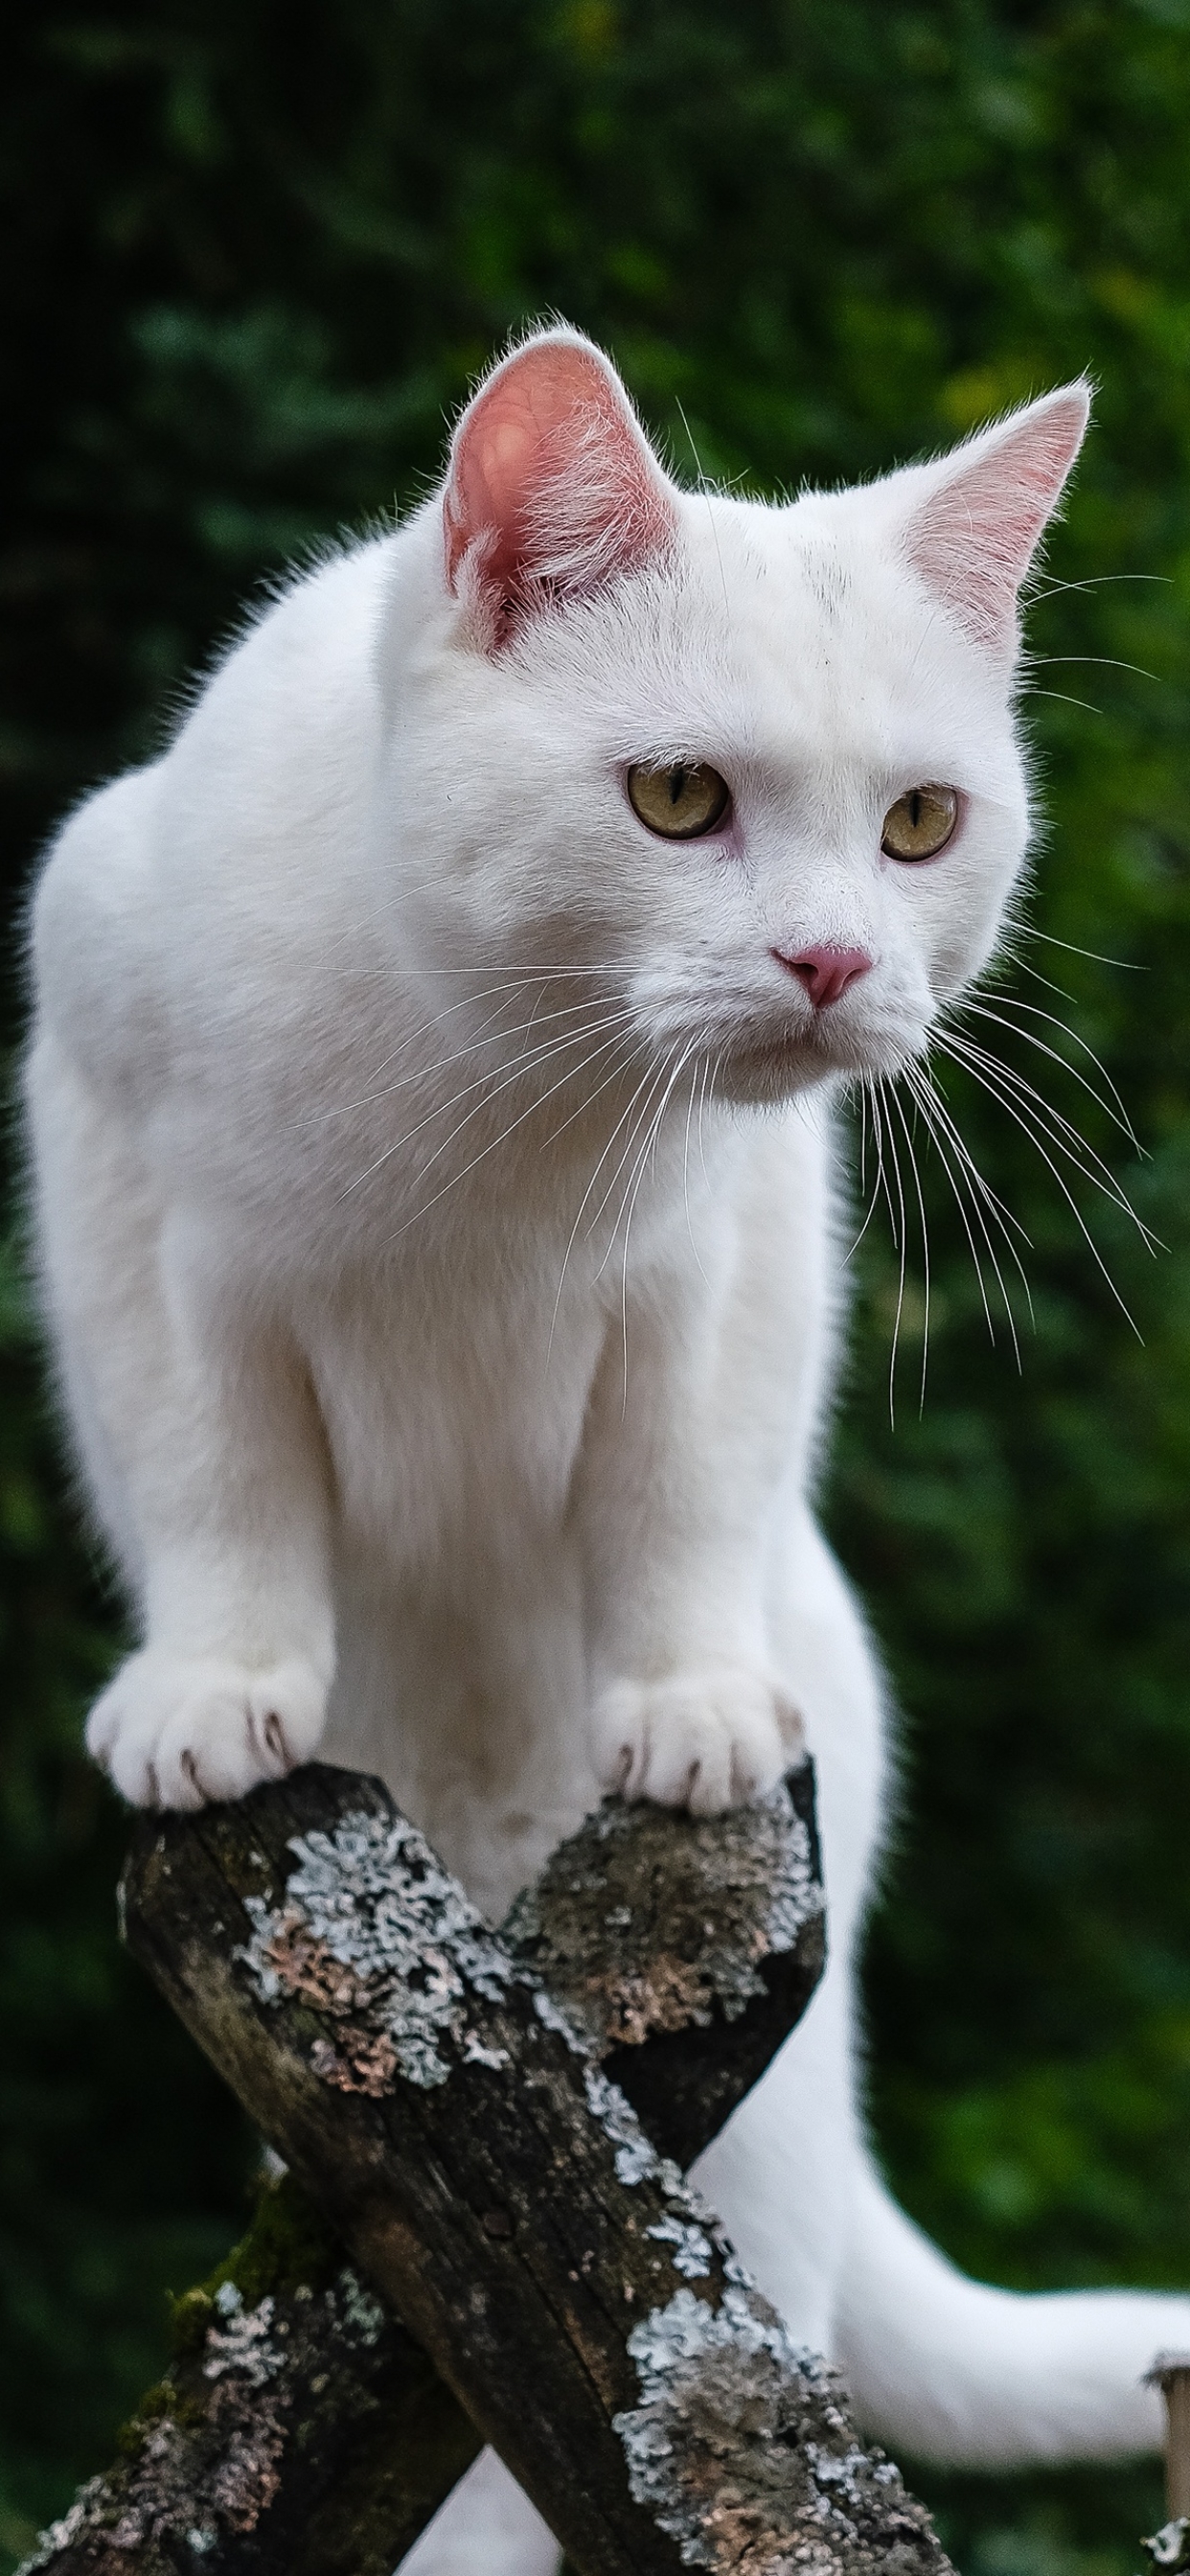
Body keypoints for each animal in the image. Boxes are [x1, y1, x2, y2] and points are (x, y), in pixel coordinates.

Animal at [28, 332, 1190, 2565]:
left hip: (743, 2169)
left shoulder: (731, 1256)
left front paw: (692, 1704)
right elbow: (212, 1470)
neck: (503, 1110)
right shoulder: (129, 1180)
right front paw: (215, 1687)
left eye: (920, 824)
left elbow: (680, 1489)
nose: (833, 960)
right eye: (677, 799)